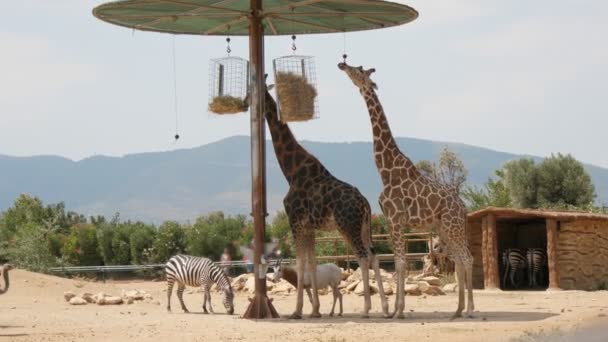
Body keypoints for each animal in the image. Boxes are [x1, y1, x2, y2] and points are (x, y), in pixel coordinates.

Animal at [262, 85, 390, 318]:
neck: (291, 171)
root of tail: (365, 204)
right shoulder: (309, 227)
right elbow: (312, 263)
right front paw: (315, 310)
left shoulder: (295, 222)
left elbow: (301, 263)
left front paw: (297, 311)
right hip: (362, 228)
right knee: (373, 256)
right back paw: (385, 308)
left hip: (347, 226)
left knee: (363, 257)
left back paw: (367, 309)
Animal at [338, 62, 476, 320]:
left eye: (359, 70)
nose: (342, 64)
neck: (386, 169)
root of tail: (463, 207)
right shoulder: (393, 221)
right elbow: (396, 261)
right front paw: (394, 309)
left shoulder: (395, 219)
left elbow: (401, 263)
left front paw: (398, 311)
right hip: (444, 229)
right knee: (459, 260)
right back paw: (458, 309)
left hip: (452, 226)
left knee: (467, 258)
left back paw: (470, 309)